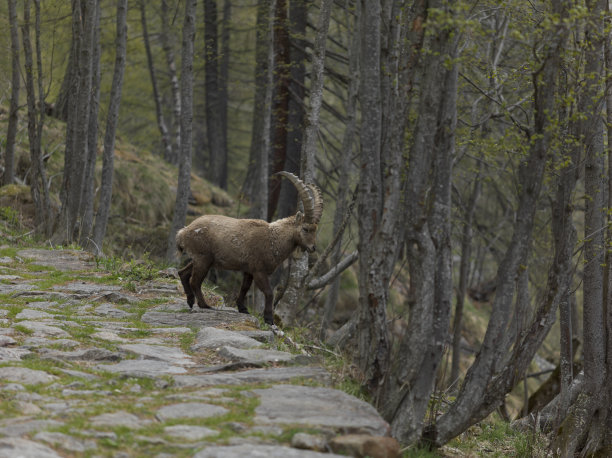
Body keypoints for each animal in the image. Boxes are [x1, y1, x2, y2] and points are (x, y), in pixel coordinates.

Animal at [175, 172, 322, 326]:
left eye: (315, 229)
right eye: (305, 228)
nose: (313, 248)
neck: (274, 238)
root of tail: (184, 232)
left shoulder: (248, 270)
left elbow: (244, 288)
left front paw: (243, 308)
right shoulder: (259, 270)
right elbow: (269, 292)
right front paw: (269, 319)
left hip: (201, 259)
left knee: (183, 273)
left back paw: (190, 301)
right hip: (203, 259)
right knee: (195, 281)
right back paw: (204, 304)